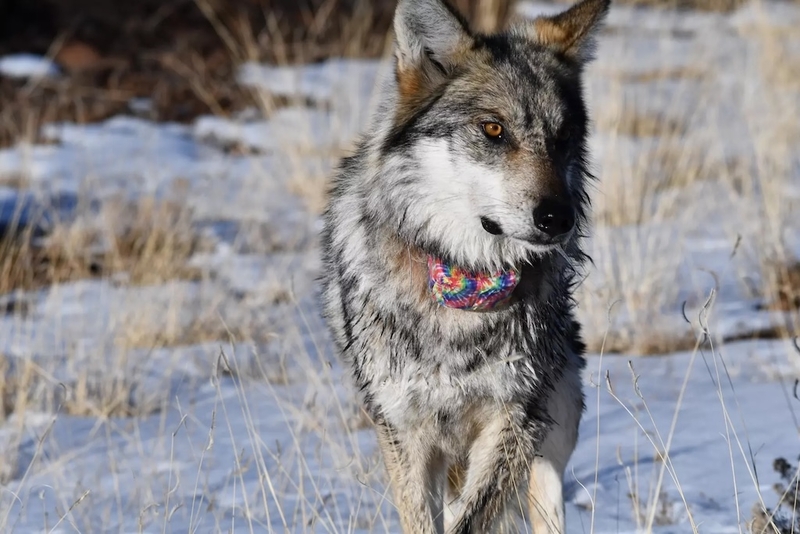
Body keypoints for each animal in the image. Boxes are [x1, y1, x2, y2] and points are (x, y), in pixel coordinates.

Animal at [319, 0, 609, 531]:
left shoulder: (517, 419)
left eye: (563, 137)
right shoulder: (403, 429)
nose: (558, 218)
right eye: (493, 129)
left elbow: (473, 519)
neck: (466, 280)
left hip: (554, 431)